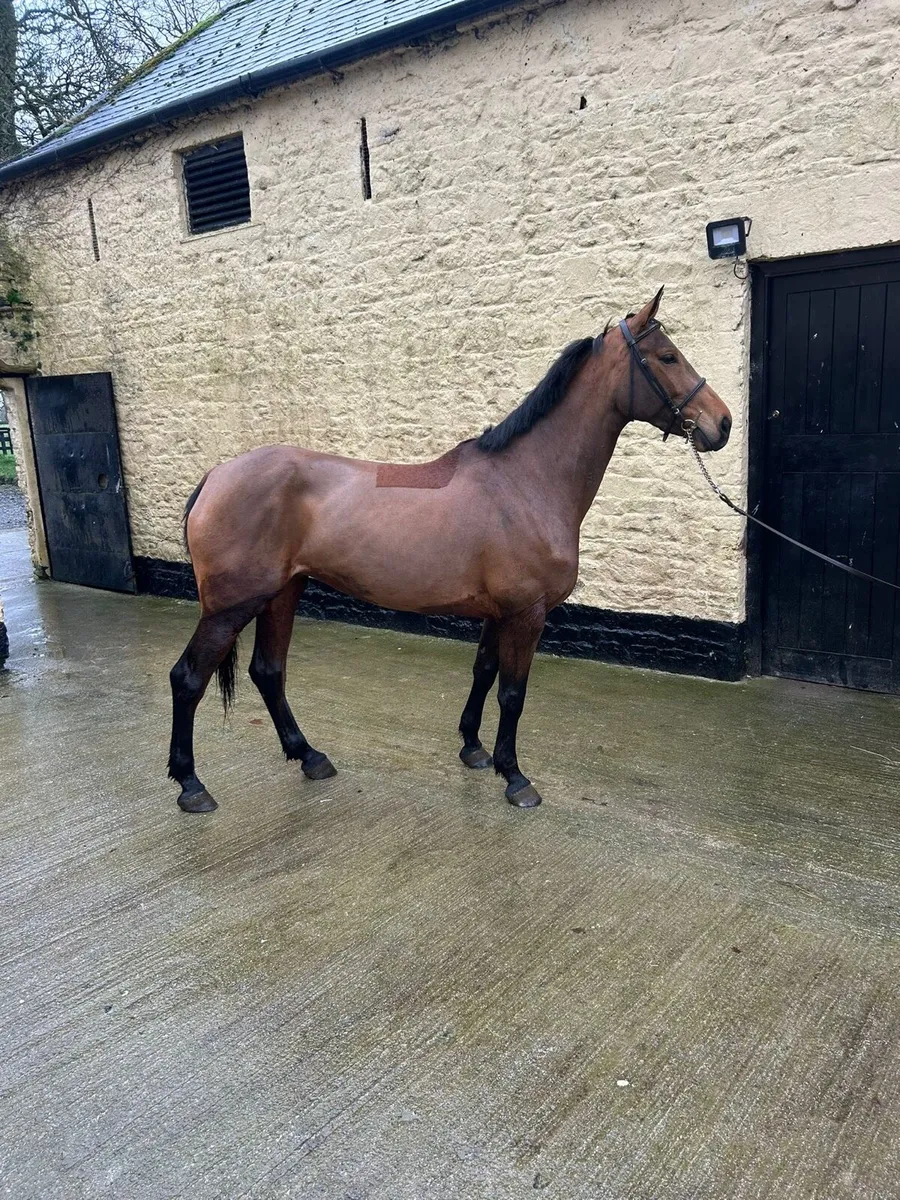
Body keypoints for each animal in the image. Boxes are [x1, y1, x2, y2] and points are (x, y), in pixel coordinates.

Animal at [168, 287, 732, 814]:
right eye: (667, 357)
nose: (722, 423)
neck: (525, 482)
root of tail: (217, 475)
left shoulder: (498, 613)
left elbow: (483, 673)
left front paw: (474, 749)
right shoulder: (527, 614)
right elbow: (513, 693)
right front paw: (515, 777)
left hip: (283, 592)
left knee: (268, 671)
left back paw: (309, 756)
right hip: (233, 605)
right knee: (188, 678)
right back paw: (192, 785)